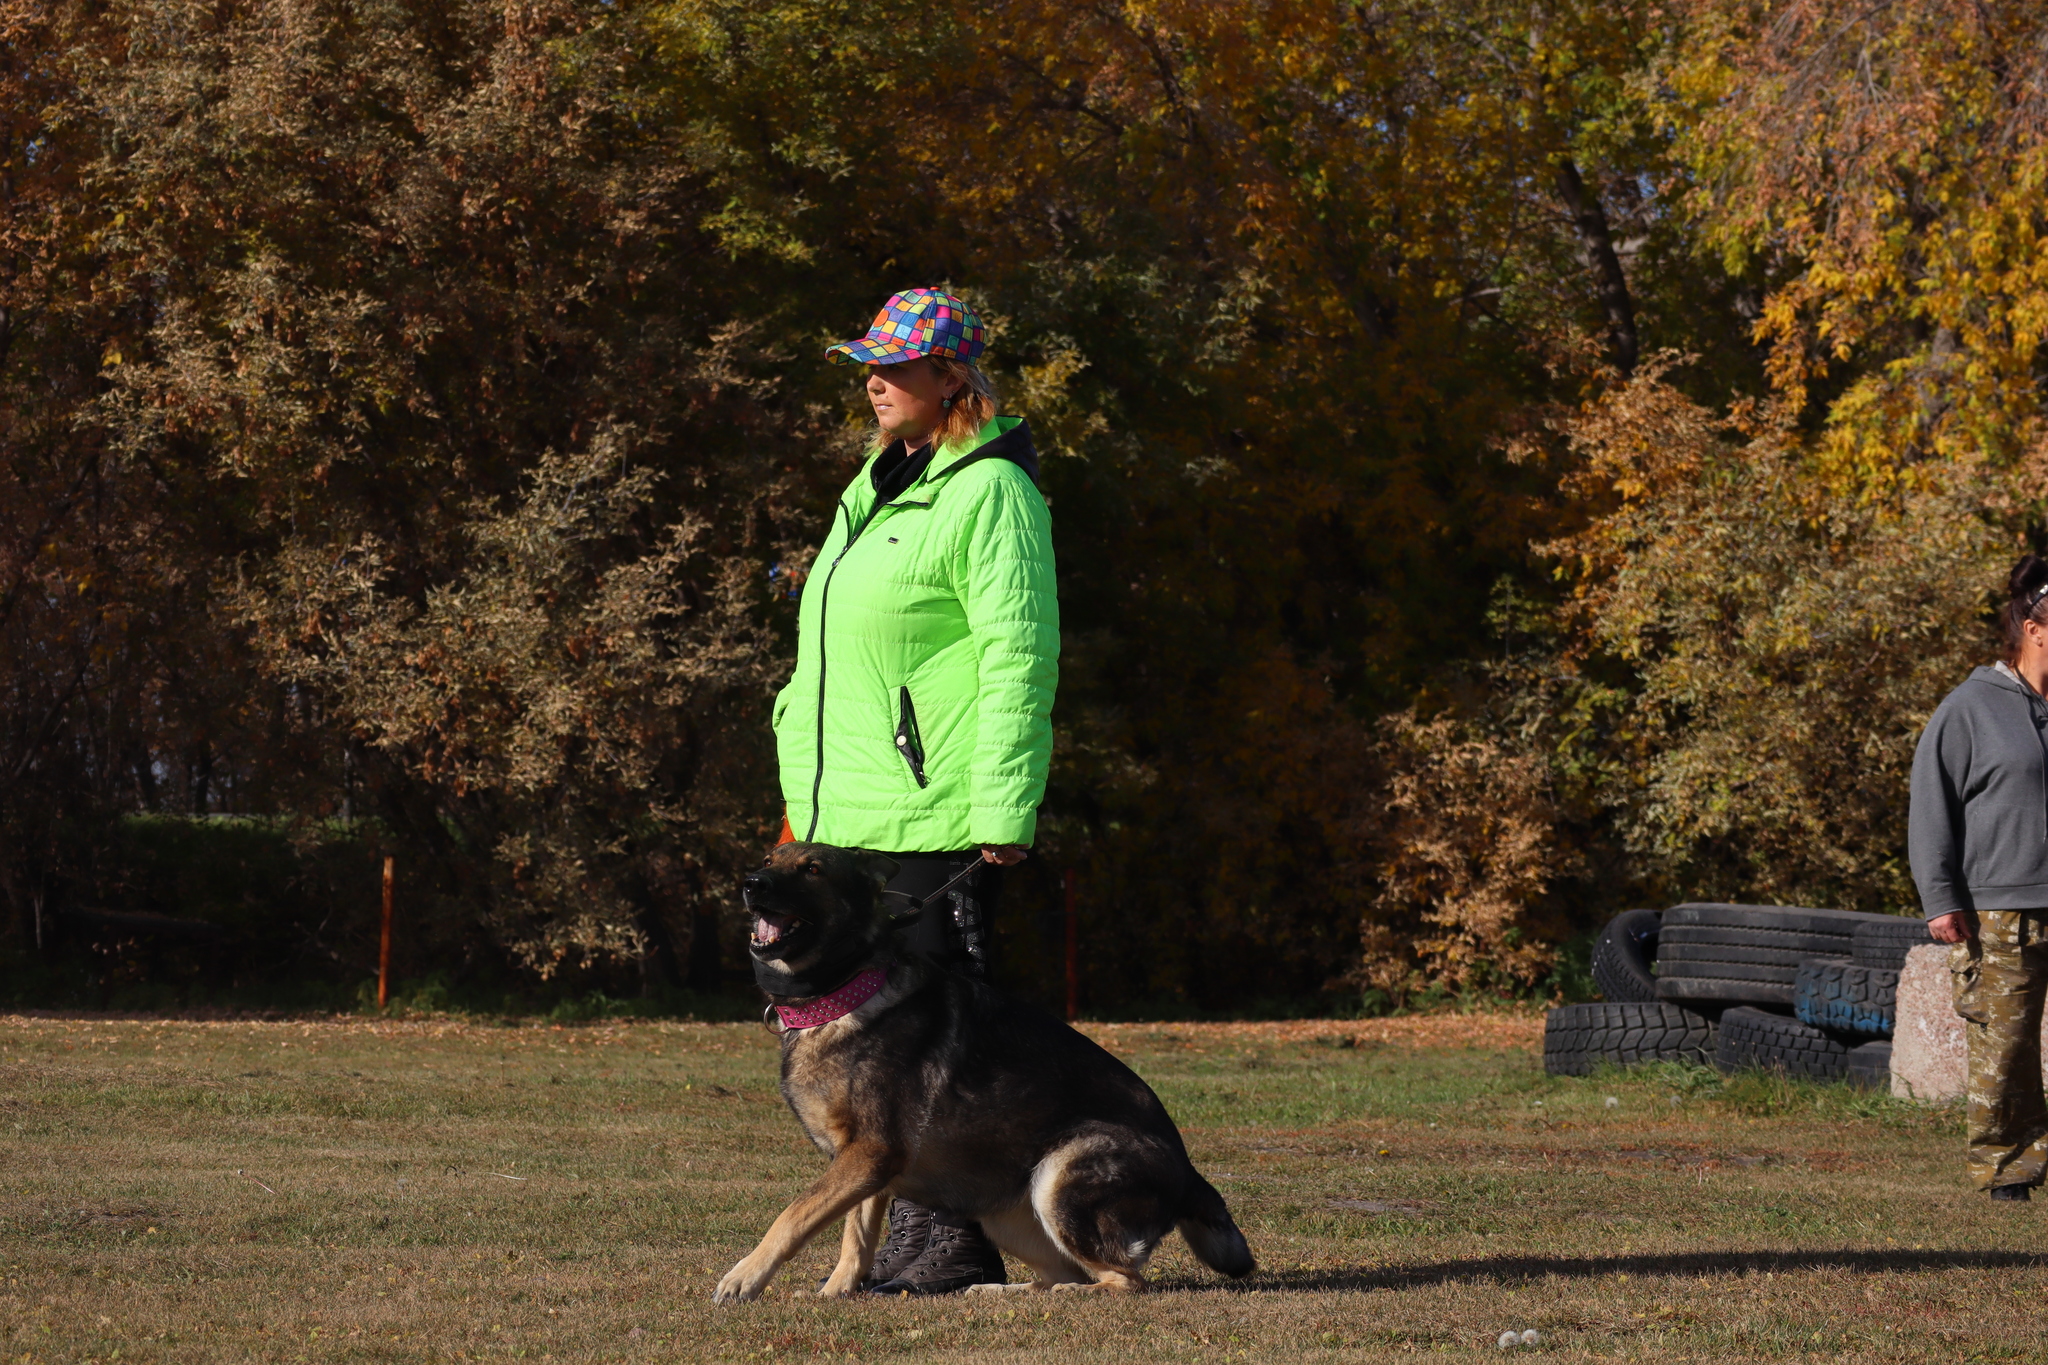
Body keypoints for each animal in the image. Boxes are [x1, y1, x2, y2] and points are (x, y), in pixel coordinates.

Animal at [716, 843, 1261, 1301]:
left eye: (813, 869)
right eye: (769, 859)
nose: (751, 882)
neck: (849, 988)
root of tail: (1190, 1174)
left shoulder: (870, 1153)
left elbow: (794, 1215)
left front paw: (745, 1278)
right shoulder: (862, 1167)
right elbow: (856, 1237)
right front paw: (836, 1291)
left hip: (1059, 1177)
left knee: (1123, 1280)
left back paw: (1064, 1296)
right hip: (1002, 1213)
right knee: (1065, 1271)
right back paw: (999, 1291)